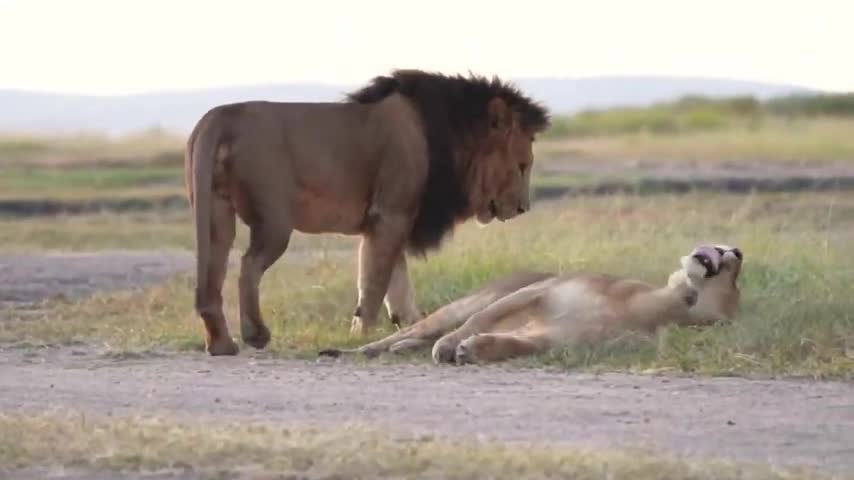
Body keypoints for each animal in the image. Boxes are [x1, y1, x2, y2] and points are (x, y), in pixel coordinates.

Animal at [184, 69, 552, 354]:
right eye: (522, 166)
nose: (523, 208)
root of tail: (220, 116)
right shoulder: (390, 215)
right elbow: (375, 286)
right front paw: (363, 336)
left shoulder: (388, 222)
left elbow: (394, 286)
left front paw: (405, 328)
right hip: (275, 220)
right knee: (248, 266)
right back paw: (255, 335)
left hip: (216, 212)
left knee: (213, 275)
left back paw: (222, 345)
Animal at [318, 244, 744, 364]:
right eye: (734, 262)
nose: (737, 251)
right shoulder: (542, 290)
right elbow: (478, 321)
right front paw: (453, 346)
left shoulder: (554, 337)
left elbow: (514, 343)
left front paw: (475, 351)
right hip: (460, 305)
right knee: (412, 330)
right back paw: (356, 351)